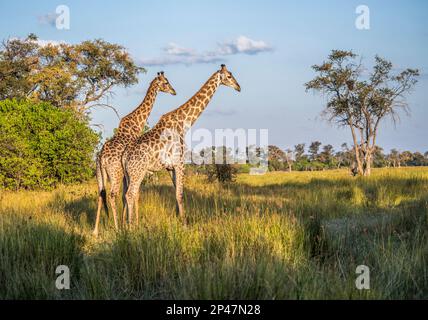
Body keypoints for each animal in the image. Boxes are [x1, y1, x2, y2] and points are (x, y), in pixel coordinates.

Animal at [92, 71, 176, 235]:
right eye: (166, 82)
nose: (174, 91)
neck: (137, 123)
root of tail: (102, 158)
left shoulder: (128, 173)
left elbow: (126, 196)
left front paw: (127, 222)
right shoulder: (132, 170)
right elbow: (134, 194)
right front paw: (133, 223)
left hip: (100, 173)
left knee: (101, 193)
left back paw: (95, 231)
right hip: (116, 173)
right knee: (112, 194)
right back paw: (116, 228)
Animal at [120, 65, 241, 225]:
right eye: (228, 76)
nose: (238, 87)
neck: (184, 122)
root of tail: (124, 157)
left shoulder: (171, 167)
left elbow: (176, 193)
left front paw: (177, 220)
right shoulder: (180, 163)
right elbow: (180, 194)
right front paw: (184, 223)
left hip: (129, 175)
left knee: (128, 195)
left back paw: (125, 224)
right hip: (137, 172)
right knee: (130, 194)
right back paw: (131, 226)